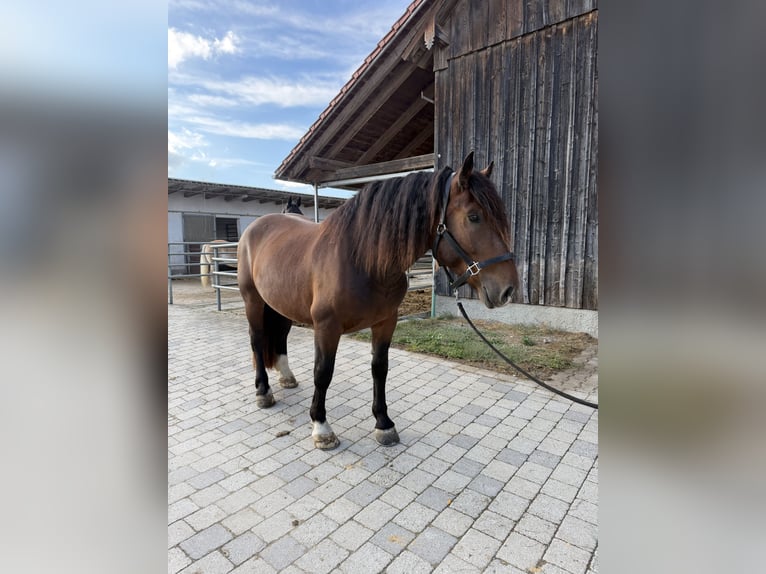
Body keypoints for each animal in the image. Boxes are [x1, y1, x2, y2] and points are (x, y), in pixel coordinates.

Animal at [237, 152, 518, 449]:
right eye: (474, 217)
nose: (508, 289)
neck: (360, 258)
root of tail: (255, 227)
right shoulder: (326, 327)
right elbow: (323, 372)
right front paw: (321, 427)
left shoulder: (386, 321)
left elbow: (379, 368)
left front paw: (383, 423)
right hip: (253, 301)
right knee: (257, 340)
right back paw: (263, 391)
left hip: (280, 305)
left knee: (279, 336)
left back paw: (286, 377)